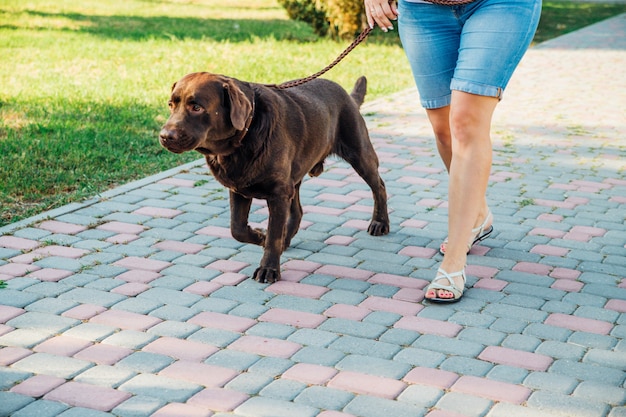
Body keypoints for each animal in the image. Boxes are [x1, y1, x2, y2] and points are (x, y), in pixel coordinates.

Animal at [158, 73, 388, 282]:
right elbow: (237, 229)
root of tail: (347, 95)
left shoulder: (278, 193)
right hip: (294, 177)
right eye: (171, 105)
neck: (244, 139)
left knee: (379, 186)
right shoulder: (239, 188)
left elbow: (274, 233)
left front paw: (268, 267)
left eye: (196, 107)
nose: (165, 136)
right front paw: (261, 236)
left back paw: (380, 223)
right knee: (298, 211)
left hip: (359, 153)